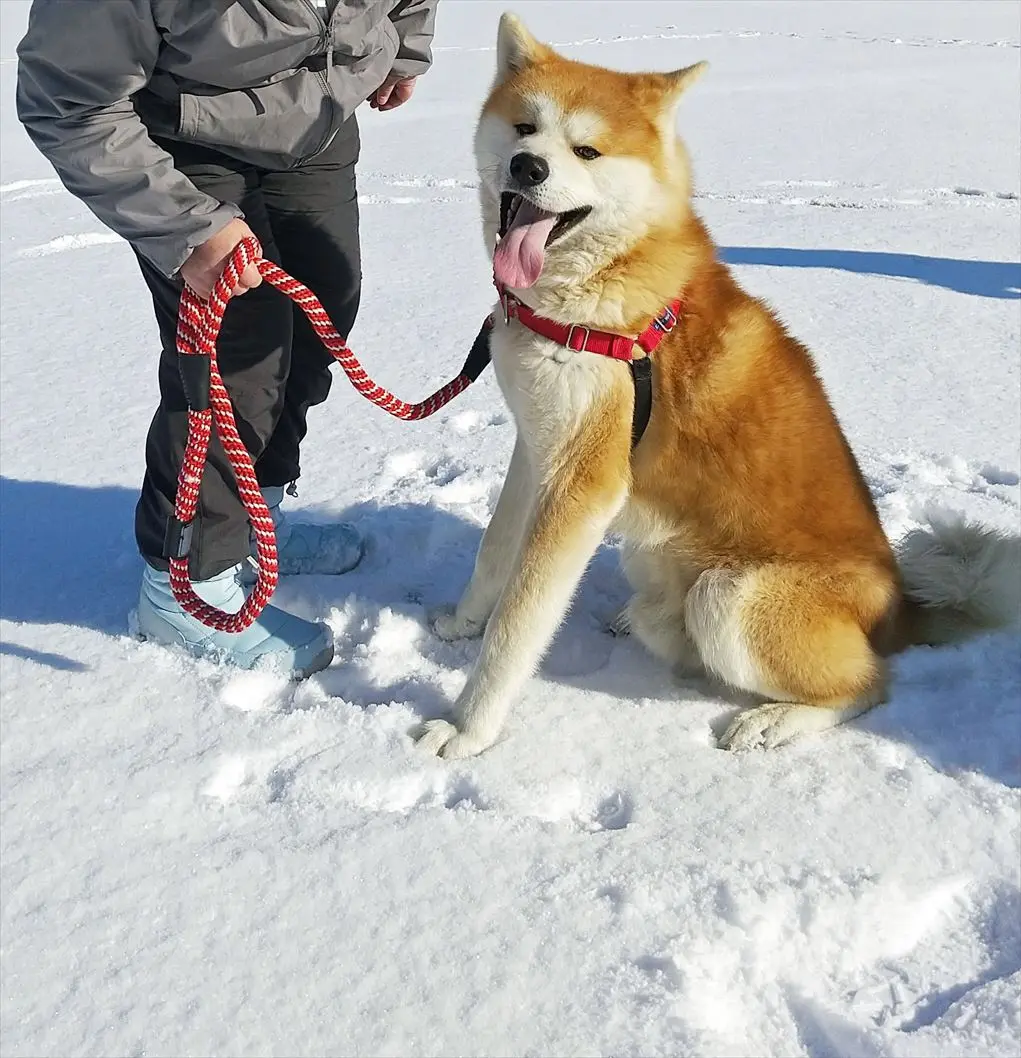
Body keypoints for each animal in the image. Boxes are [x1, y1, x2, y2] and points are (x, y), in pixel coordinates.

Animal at [416, 14, 1019, 761]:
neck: (593, 299)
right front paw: (463, 623)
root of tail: (899, 609)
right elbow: (493, 554)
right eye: (524, 127)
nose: (529, 167)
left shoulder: (584, 483)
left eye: (586, 150)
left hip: (730, 598)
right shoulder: (537, 446)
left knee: (869, 686)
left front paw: (467, 728)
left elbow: (518, 625)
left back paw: (774, 720)